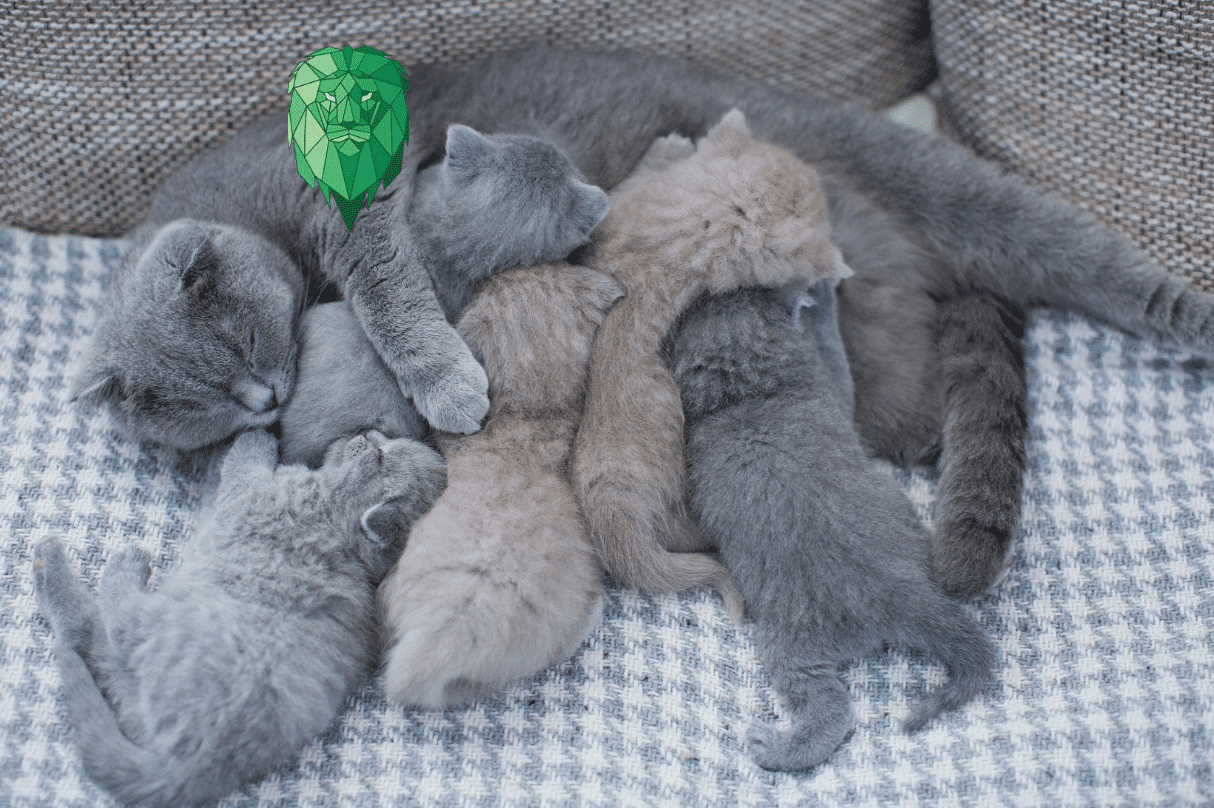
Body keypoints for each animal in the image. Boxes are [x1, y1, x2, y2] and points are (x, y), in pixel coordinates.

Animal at [32, 429, 447, 807]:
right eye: (384, 446)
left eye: (379, 455)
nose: (367, 433)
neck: (333, 521)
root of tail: (203, 761)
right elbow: (217, 481)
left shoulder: (247, 491)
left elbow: (239, 462)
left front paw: (255, 434)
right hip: (142, 697)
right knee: (106, 666)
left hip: (173, 617)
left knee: (109, 627)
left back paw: (85, 564)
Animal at [73, 120, 608, 451]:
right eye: (202, 405)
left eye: (248, 343)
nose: (265, 402)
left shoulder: (349, 202)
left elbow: (385, 287)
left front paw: (447, 386)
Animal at [670, 281, 995, 772]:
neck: (749, 397)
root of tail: (898, 592)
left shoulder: (833, 394)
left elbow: (835, 356)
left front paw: (819, 295)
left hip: (791, 643)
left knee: (832, 709)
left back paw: (775, 747)